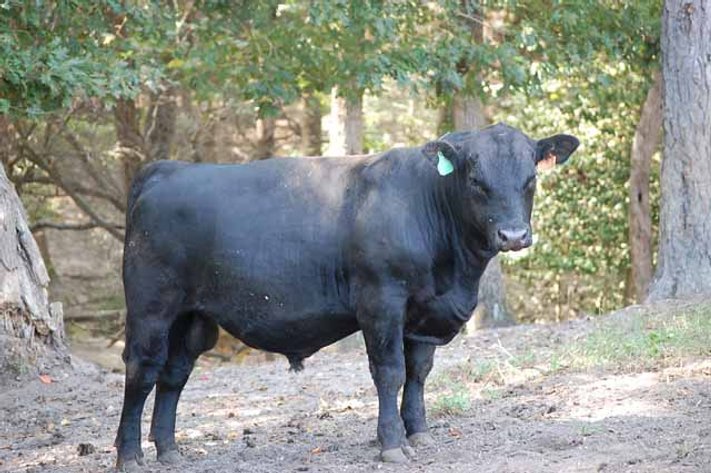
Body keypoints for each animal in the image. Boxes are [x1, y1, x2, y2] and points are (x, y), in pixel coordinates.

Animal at [114, 123, 579, 471]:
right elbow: (390, 372)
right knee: (142, 370)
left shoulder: (424, 314)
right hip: (151, 307)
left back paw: (169, 451)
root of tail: (166, 170)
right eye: (477, 182)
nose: (514, 235)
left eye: (531, 179)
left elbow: (418, 373)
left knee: (174, 374)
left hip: (192, 317)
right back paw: (130, 455)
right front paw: (391, 444)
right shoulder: (381, 301)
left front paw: (419, 434)